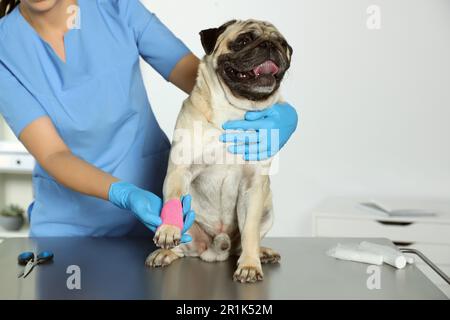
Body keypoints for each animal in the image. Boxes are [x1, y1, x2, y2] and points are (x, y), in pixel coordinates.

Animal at [145, 19, 292, 282]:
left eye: (282, 44)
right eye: (243, 40)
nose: (269, 45)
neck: (234, 110)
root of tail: (215, 251)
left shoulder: (254, 185)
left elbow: (250, 231)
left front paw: (250, 265)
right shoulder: (180, 171)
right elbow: (173, 201)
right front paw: (168, 229)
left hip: (267, 210)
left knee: (244, 244)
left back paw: (260, 253)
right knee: (182, 248)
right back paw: (165, 253)